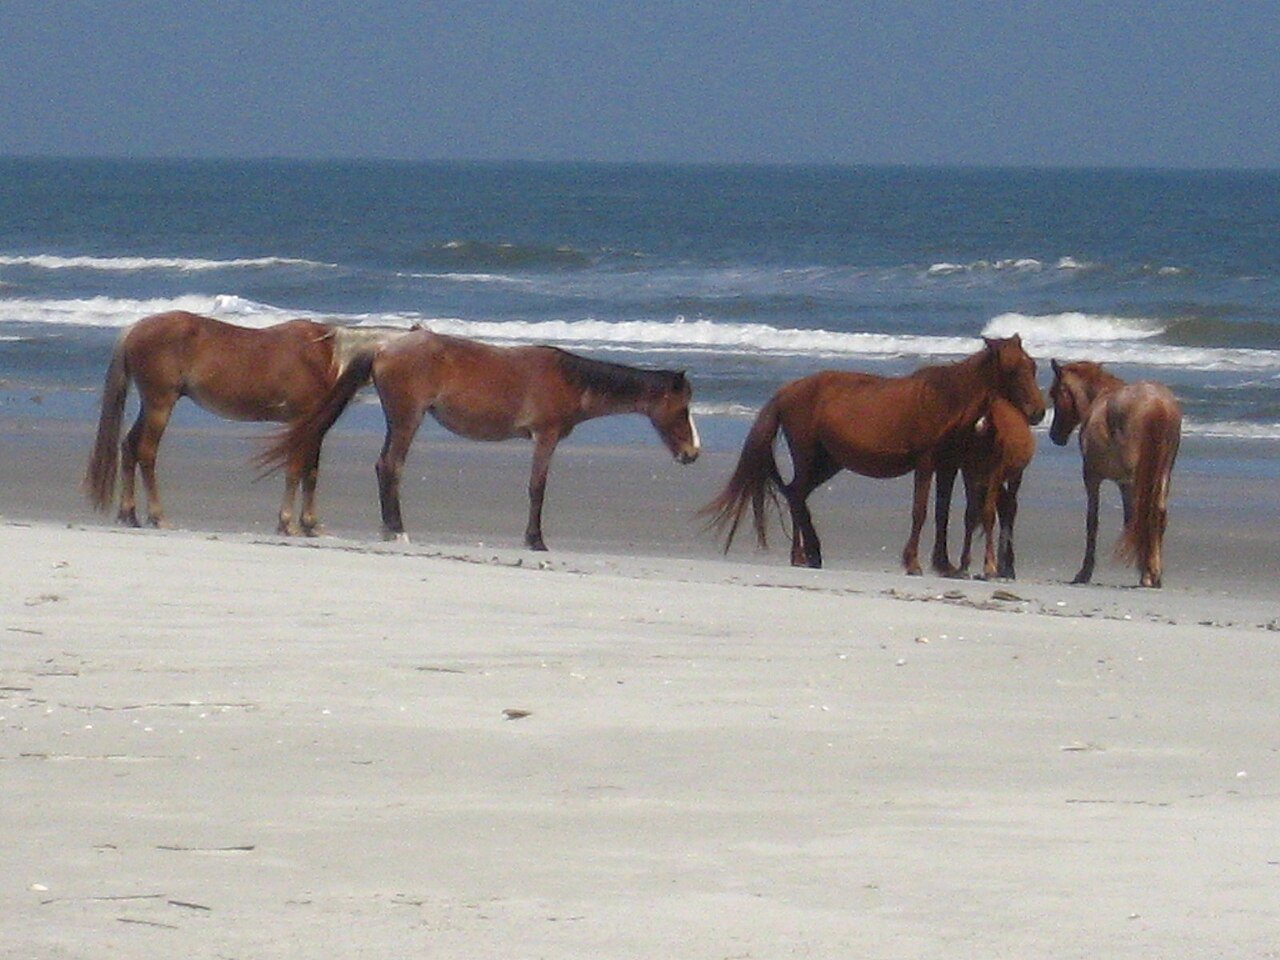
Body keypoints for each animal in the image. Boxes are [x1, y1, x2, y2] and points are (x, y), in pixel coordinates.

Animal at [85, 311, 404, 535]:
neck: (326, 356)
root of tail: (135, 329)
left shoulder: (314, 427)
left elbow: (310, 473)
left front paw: (310, 524)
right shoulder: (302, 422)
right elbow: (294, 471)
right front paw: (288, 524)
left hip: (152, 405)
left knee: (129, 447)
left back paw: (129, 514)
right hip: (160, 404)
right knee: (146, 453)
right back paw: (158, 517)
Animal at [257, 328, 701, 550]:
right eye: (682, 410)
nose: (693, 453)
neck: (570, 380)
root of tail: (384, 346)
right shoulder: (545, 437)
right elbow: (537, 488)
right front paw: (536, 540)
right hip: (407, 419)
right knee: (390, 466)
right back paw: (396, 529)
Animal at [931, 395, 1037, 580]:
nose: (979, 426)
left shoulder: (995, 473)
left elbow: (988, 515)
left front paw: (990, 567)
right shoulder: (970, 473)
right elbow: (970, 515)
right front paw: (964, 565)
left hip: (1014, 475)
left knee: (1010, 507)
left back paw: (1006, 567)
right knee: (1004, 507)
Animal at [1048, 359, 1181, 588]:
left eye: (1055, 394)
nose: (1055, 435)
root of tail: (1158, 404)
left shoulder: (1093, 477)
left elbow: (1093, 521)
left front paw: (1084, 572)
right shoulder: (1123, 482)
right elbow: (1129, 519)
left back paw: (1149, 574)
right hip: (1163, 473)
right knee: (1159, 513)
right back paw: (1154, 573)